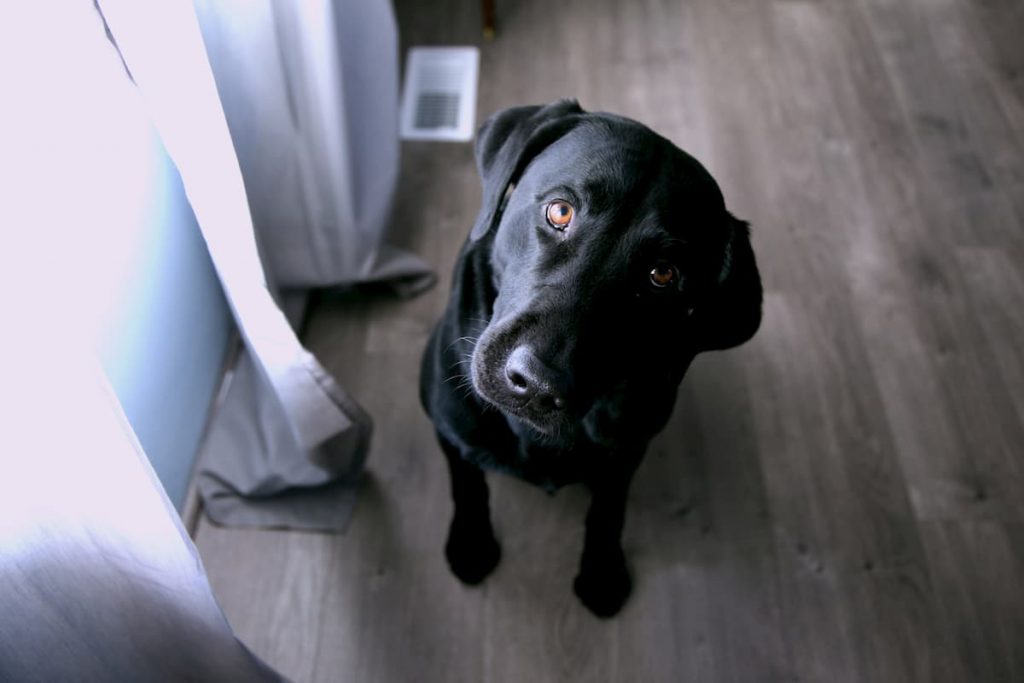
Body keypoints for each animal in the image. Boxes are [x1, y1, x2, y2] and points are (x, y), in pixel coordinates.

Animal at [415, 101, 761, 618]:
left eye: (663, 274)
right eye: (561, 210)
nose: (536, 384)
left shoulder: (628, 450)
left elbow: (608, 509)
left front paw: (602, 571)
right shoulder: (449, 422)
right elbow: (467, 479)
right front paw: (472, 544)